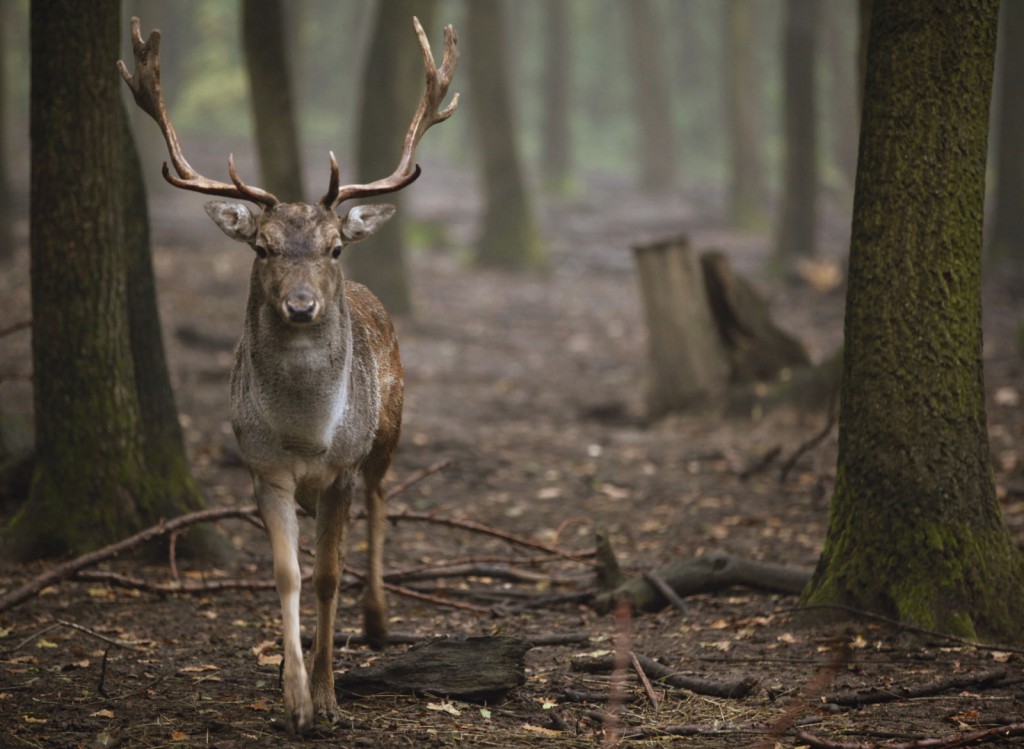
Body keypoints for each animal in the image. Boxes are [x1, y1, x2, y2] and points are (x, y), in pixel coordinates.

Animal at [116, 16, 460, 733]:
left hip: (388, 433)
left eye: (333, 248)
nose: (301, 306)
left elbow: (328, 576)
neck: (305, 435)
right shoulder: (263, 466)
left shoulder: (342, 468)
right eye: (263, 247)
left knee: (381, 505)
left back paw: (377, 621)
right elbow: (288, 574)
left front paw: (329, 696)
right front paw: (293, 694)